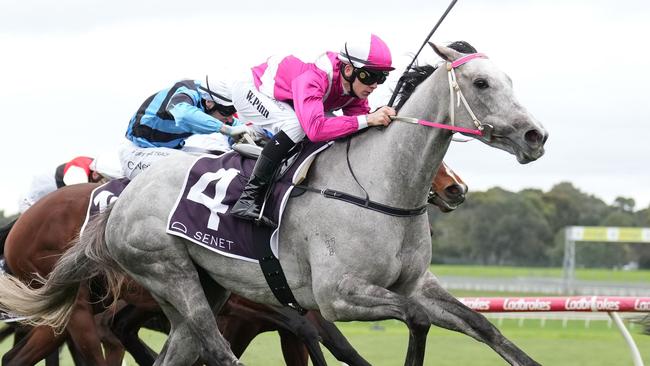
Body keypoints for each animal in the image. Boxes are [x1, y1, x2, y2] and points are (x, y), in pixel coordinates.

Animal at [1, 161, 466, 366]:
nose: (456, 188)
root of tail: (21, 222)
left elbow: (333, 343)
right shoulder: (254, 304)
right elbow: (316, 336)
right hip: (77, 312)